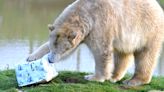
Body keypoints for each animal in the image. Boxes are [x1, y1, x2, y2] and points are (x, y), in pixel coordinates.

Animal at [26, 0, 164, 86]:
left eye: (62, 49)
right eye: (52, 47)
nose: (50, 60)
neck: (85, 12)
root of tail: (159, 8)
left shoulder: (100, 24)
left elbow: (101, 51)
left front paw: (93, 77)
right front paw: (31, 57)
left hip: (149, 29)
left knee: (145, 55)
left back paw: (134, 81)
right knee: (122, 54)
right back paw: (114, 77)